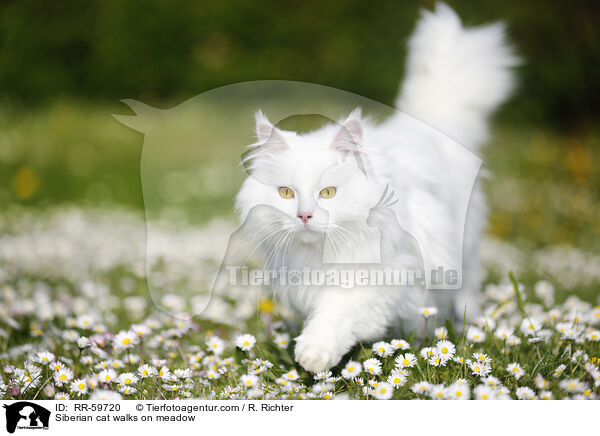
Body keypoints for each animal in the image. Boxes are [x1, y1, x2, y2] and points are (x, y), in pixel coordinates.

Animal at [234, 2, 516, 372]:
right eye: (286, 193)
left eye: (328, 193)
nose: (305, 216)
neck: (321, 254)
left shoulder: (376, 283)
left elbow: (334, 317)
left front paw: (312, 356)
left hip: (462, 251)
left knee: (466, 288)